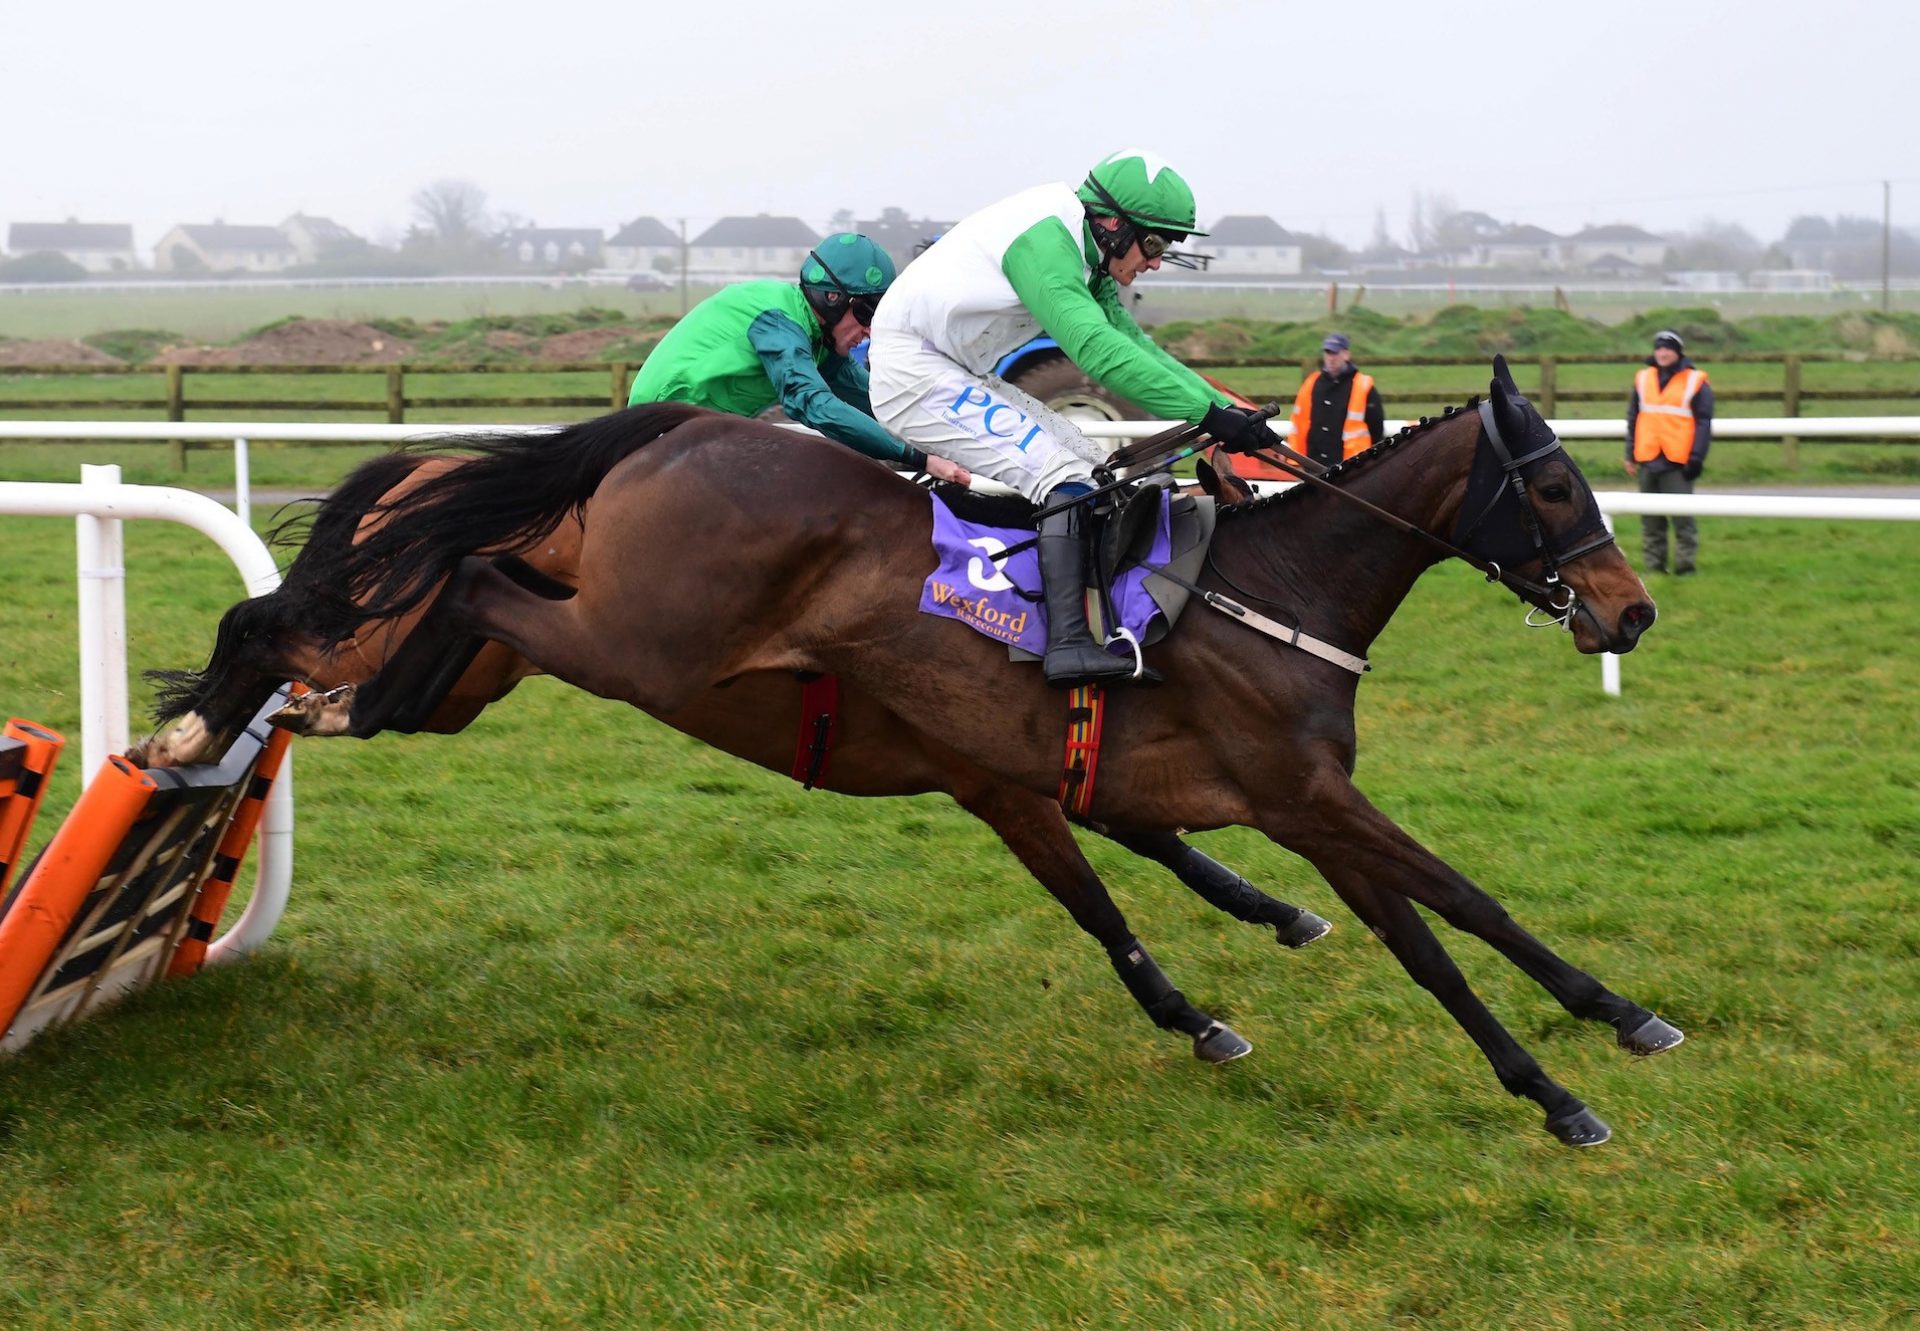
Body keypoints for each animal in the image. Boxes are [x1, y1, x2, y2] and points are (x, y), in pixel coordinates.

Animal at [145, 359, 1681, 1144]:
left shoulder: (1072, 784)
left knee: (371, 608)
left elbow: (1414, 908)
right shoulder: (1297, 795)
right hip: (630, 641)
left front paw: (1604, 1018)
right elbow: (1442, 922)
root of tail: (671, 429)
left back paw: (235, 714)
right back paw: (244, 709)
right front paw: (1562, 1079)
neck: (1275, 587)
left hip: (535, 664)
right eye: (1554, 483)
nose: (1631, 611)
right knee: (428, 580)